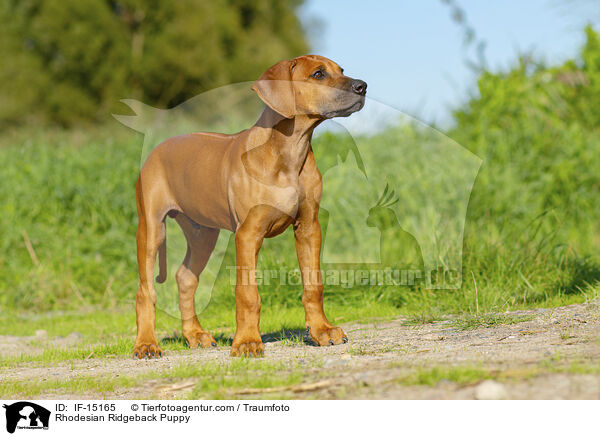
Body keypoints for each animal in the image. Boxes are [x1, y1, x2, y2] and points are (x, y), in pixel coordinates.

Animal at [133, 53, 366, 358]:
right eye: (318, 74)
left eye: (341, 70)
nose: (363, 86)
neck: (288, 151)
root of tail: (158, 148)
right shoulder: (247, 234)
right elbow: (247, 293)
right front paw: (246, 341)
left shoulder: (308, 228)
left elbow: (313, 284)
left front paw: (321, 330)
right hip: (151, 228)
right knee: (145, 290)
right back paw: (147, 343)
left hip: (202, 232)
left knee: (185, 277)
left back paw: (194, 335)